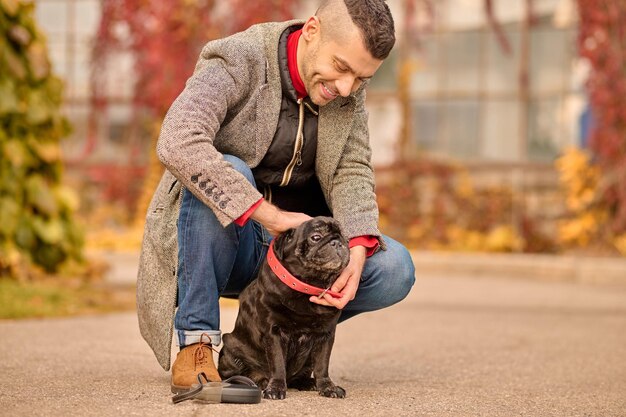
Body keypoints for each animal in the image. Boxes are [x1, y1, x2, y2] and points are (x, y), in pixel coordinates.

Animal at [217, 216, 348, 398]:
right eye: (316, 237)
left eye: (346, 238)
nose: (337, 242)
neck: (308, 285)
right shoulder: (275, 333)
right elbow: (278, 363)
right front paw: (276, 388)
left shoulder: (325, 335)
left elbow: (322, 364)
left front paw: (328, 387)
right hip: (231, 349)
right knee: (239, 373)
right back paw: (259, 381)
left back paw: (308, 382)